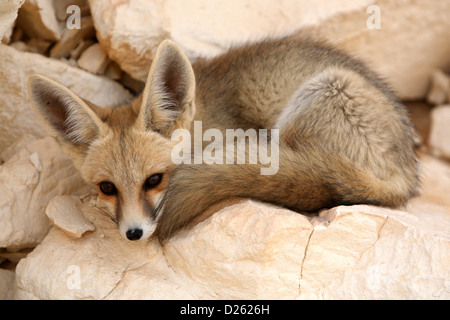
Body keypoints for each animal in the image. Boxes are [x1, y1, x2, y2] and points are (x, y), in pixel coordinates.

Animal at [27, 35, 418, 244]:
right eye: (107, 188)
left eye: (154, 180)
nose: (133, 233)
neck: (204, 124)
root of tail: (407, 177)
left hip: (321, 93)